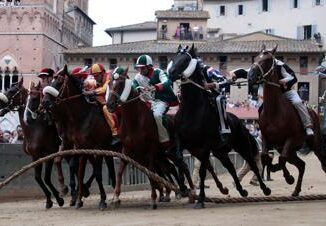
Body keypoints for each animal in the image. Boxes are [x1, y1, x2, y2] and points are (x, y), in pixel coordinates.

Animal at [0, 79, 64, 208]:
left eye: (12, 91)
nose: (0, 103)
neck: (34, 129)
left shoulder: (49, 154)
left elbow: (46, 178)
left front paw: (59, 199)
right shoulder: (35, 156)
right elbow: (38, 178)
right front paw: (49, 200)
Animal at [42, 65, 118, 210]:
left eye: (59, 81)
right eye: (52, 80)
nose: (45, 102)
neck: (82, 116)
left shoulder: (98, 147)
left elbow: (97, 172)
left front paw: (102, 200)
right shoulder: (77, 145)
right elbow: (73, 167)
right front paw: (70, 193)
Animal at [107, 69, 196, 208]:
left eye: (120, 83)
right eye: (109, 83)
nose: (109, 104)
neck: (135, 121)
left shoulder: (150, 149)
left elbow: (150, 171)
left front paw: (154, 198)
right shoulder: (128, 150)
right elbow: (120, 171)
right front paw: (116, 197)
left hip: (173, 151)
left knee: (183, 166)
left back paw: (191, 190)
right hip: (164, 154)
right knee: (174, 167)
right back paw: (182, 189)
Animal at [167, 44, 272, 208]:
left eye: (185, 60)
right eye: (174, 58)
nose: (170, 73)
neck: (192, 110)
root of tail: (238, 121)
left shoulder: (204, 146)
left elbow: (203, 171)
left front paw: (200, 199)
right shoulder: (182, 141)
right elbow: (178, 157)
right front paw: (184, 188)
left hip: (241, 145)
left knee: (252, 164)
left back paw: (264, 188)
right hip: (220, 151)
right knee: (231, 167)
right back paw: (241, 190)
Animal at [247, 44, 326, 196]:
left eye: (267, 60)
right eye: (256, 57)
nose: (250, 76)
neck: (274, 111)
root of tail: (313, 112)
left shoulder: (291, 138)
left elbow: (281, 159)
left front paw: (288, 177)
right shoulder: (266, 138)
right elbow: (265, 156)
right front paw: (275, 170)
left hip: (314, 143)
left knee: (322, 162)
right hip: (291, 150)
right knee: (301, 165)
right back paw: (296, 190)